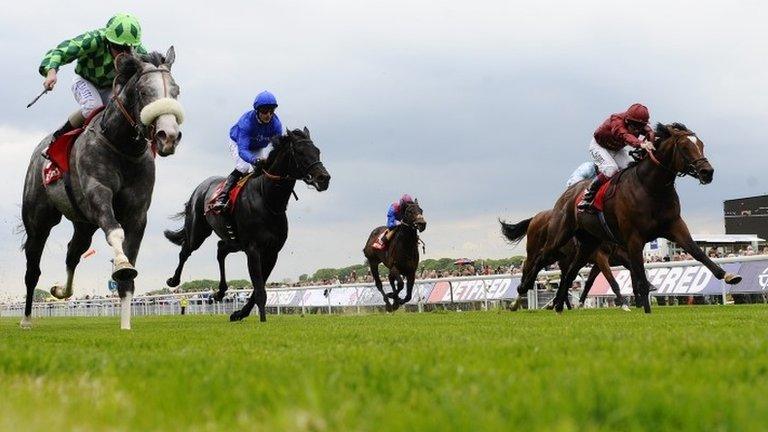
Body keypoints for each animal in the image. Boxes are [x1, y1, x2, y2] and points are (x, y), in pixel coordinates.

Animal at [21, 47, 184, 330]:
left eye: (176, 91)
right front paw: (121, 263)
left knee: (73, 253)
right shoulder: (98, 194)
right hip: (38, 220)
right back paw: (27, 319)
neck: (121, 146)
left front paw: (126, 327)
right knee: (33, 268)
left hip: (84, 223)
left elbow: (127, 276)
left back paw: (60, 290)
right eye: (144, 92)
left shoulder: (138, 213)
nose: (169, 136)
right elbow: (115, 234)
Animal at [164, 126, 328, 322]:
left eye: (317, 151)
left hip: (234, 241)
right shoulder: (253, 249)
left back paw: (220, 292)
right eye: (301, 152)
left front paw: (239, 313)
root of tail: (200, 187)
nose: (324, 178)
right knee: (185, 251)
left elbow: (258, 289)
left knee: (221, 249)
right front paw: (262, 321)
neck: (267, 200)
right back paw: (174, 280)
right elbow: (259, 290)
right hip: (198, 231)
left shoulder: (272, 251)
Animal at [498, 209, 632, 310]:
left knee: (552, 274)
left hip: (556, 257)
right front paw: (624, 304)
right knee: (527, 268)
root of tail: (534, 218)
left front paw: (580, 303)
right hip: (535, 251)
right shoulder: (600, 256)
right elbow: (611, 280)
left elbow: (588, 283)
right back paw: (517, 300)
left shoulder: (605, 260)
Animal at [520, 122, 736, 314]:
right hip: (560, 235)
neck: (651, 187)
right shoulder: (632, 239)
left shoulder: (674, 226)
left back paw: (558, 306)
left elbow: (697, 252)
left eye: (701, 144)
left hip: (588, 243)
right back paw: (524, 287)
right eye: (684, 147)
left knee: (570, 272)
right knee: (540, 258)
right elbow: (637, 273)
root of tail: (567, 194)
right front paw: (646, 310)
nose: (707, 172)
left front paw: (728, 275)